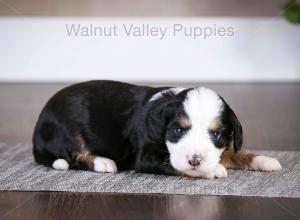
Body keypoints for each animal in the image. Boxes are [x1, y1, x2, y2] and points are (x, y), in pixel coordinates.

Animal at [32, 80, 282, 178]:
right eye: (178, 131)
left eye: (216, 134)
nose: (195, 159)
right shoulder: (146, 156)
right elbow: (175, 165)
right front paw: (212, 170)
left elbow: (235, 152)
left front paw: (264, 160)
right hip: (67, 129)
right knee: (73, 156)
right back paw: (103, 162)